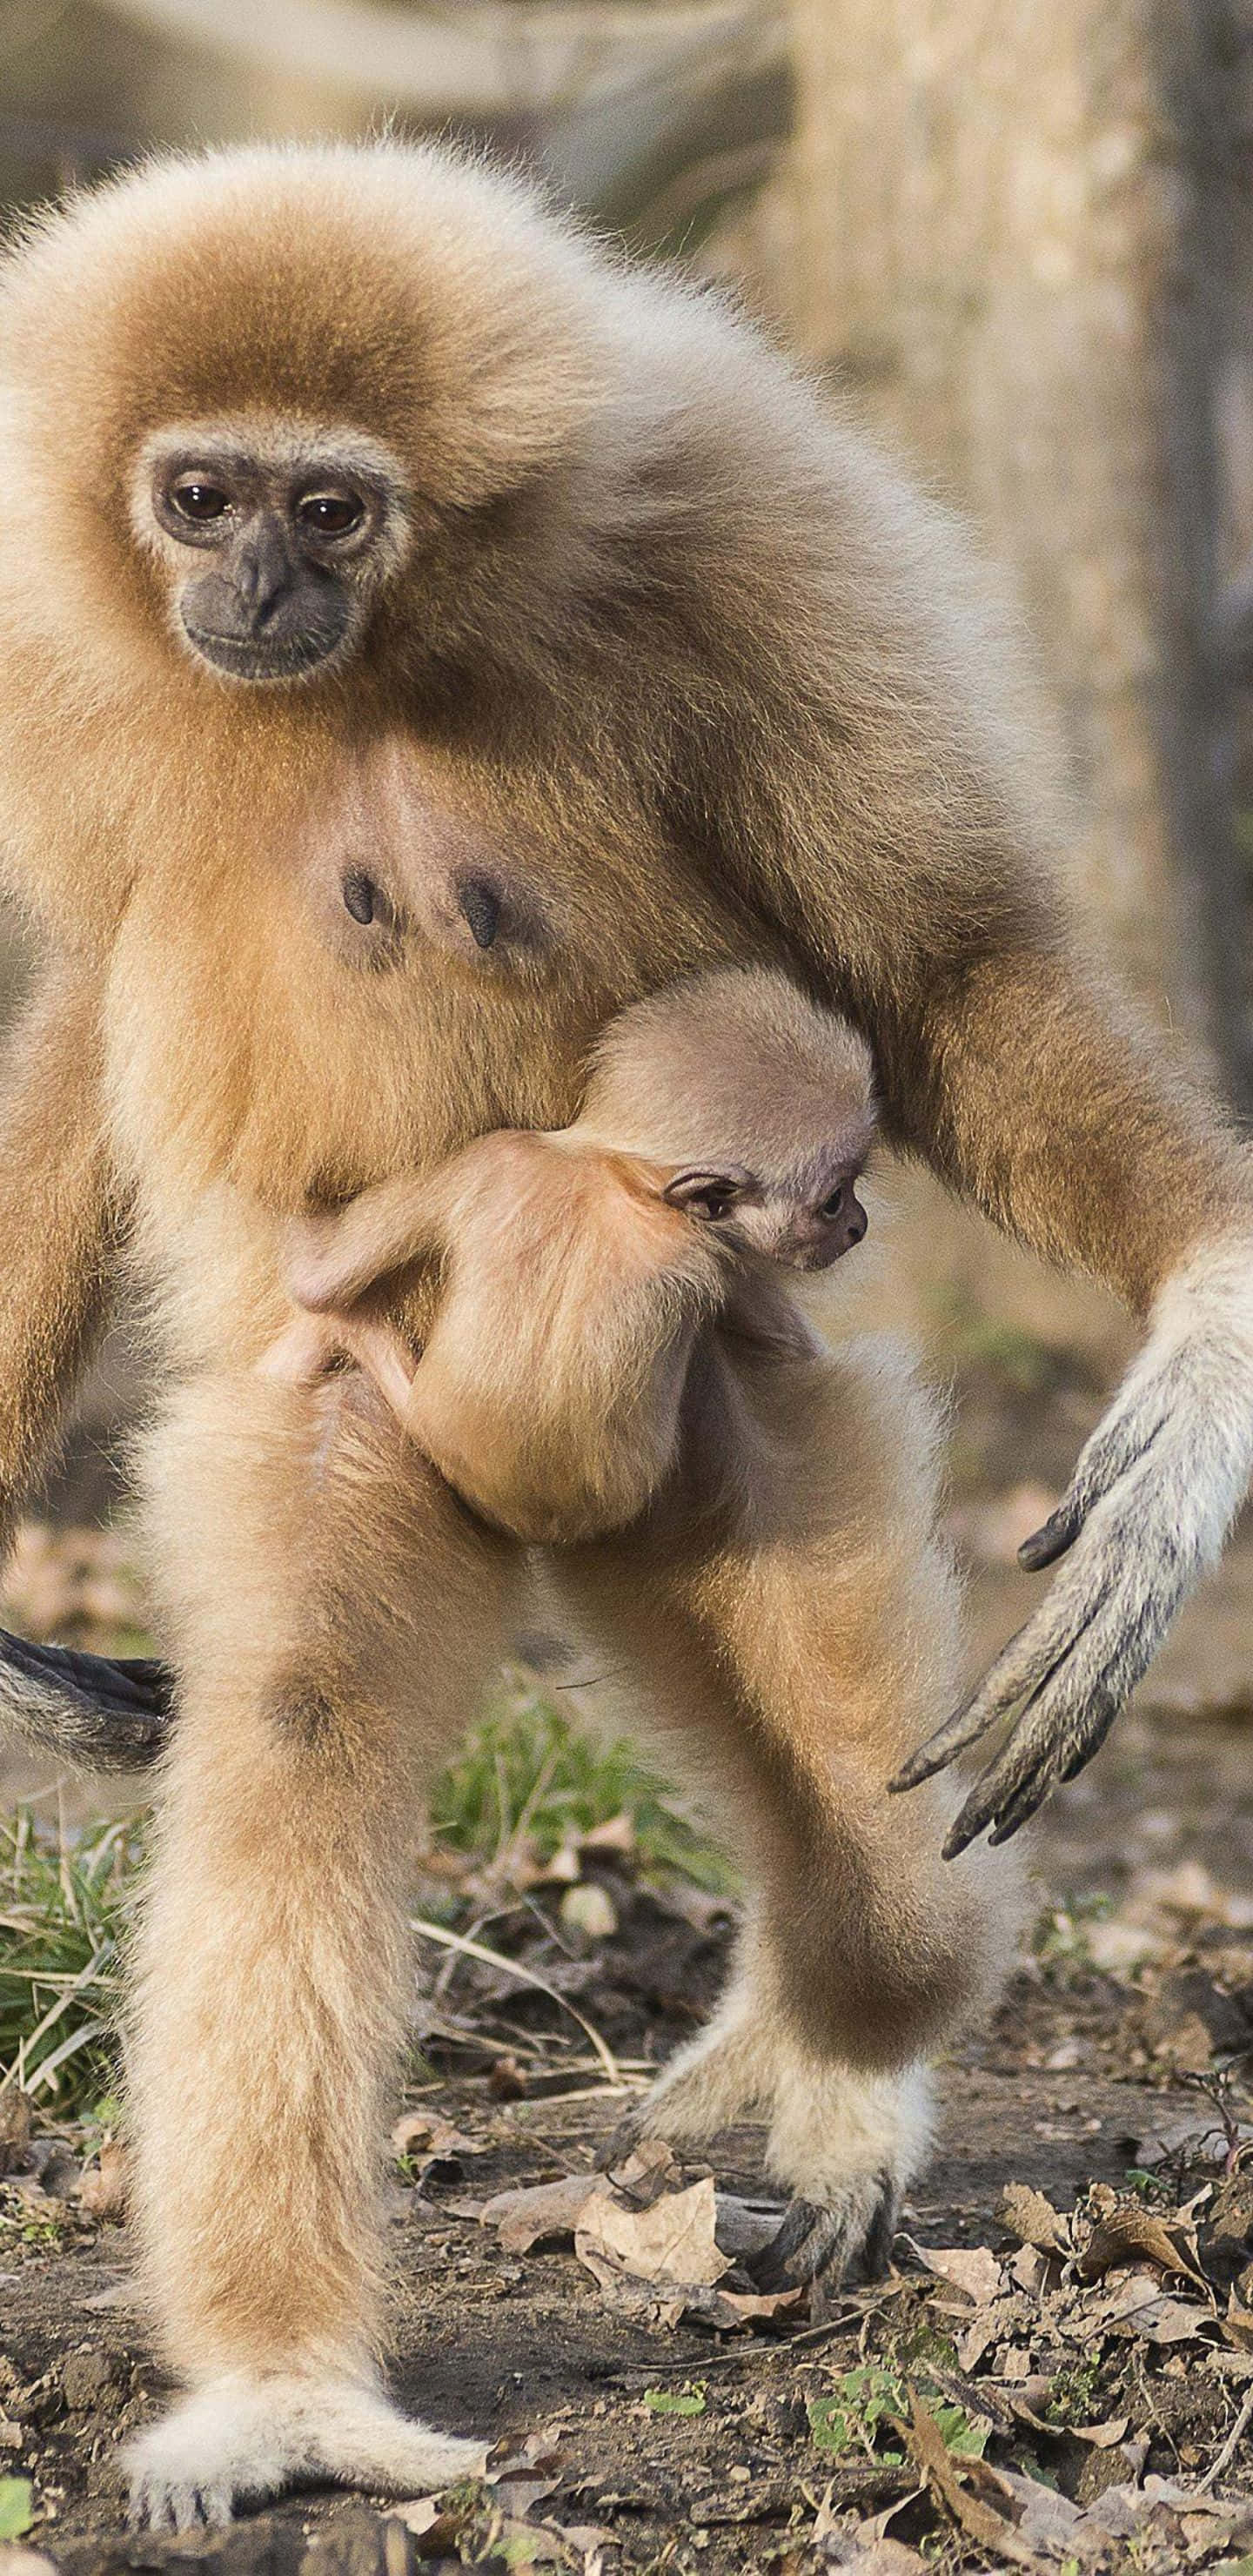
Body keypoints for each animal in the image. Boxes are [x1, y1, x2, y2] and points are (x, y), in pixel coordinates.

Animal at [268, 969, 874, 1546]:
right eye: (833, 1202)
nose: (858, 1225)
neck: (614, 1172)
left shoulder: (495, 1153)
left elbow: (316, 1283)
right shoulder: (719, 1251)